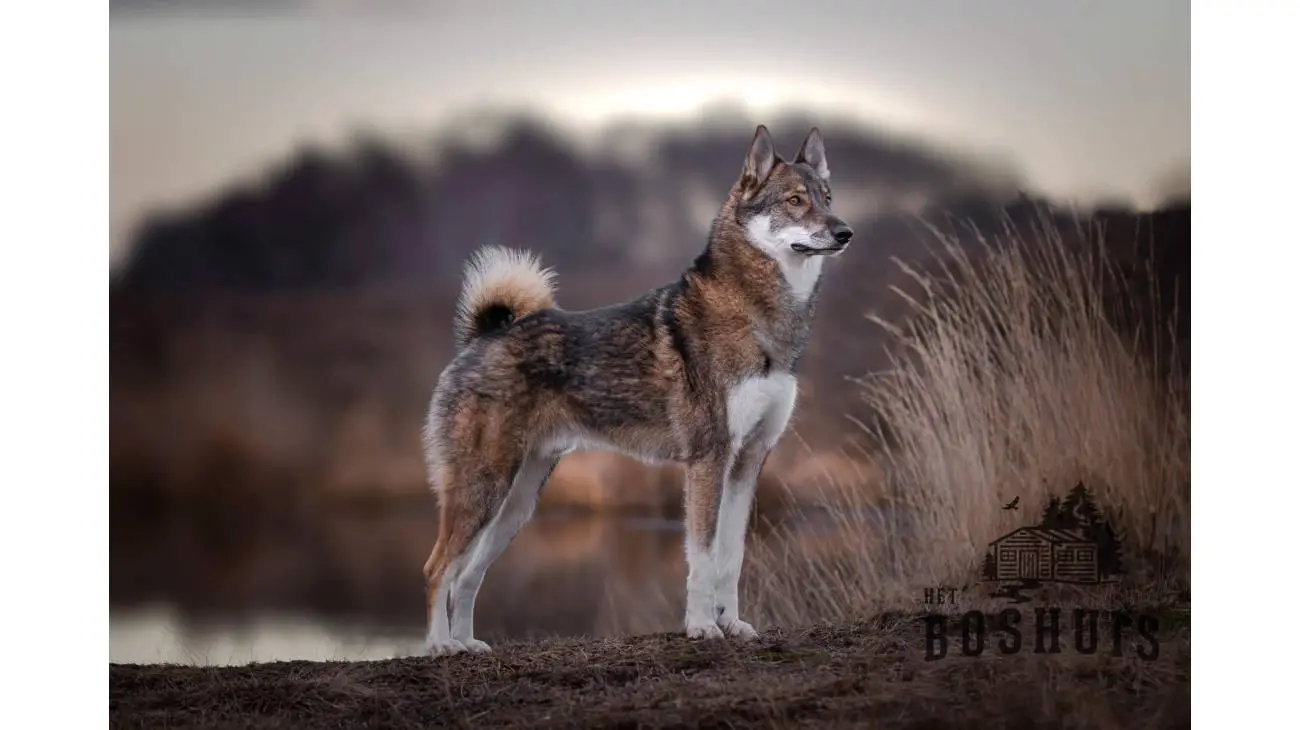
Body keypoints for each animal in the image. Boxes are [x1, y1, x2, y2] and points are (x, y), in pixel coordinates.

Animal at [421, 123, 857, 654]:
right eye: (795, 200)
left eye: (827, 198)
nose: (845, 232)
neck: (756, 315)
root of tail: (484, 336)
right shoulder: (708, 460)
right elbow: (703, 558)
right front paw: (701, 627)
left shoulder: (748, 462)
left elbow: (731, 557)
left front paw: (733, 624)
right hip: (482, 489)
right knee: (438, 569)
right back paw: (440, 646)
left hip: (516, 504)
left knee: (468, 577)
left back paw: (467, 644)